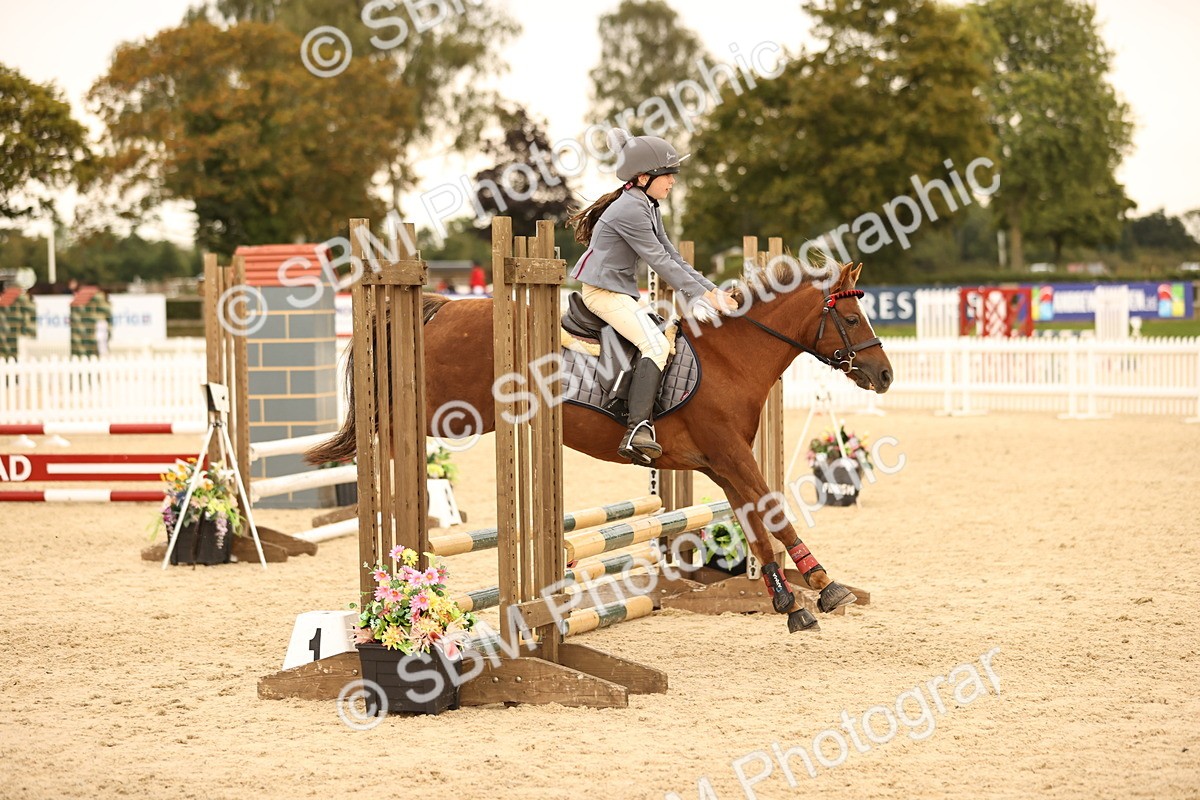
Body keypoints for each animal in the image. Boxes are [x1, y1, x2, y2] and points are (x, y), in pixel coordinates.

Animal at [308, 260, 893, 633]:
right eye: (852, 318)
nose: (884, 374)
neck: (732, 357)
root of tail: (442, 307)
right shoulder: (731, 454)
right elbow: (772, 511)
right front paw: (823, 584)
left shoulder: (721, 464)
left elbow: (757, 525)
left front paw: (788, 600)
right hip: (441, 416)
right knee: (386, 441)